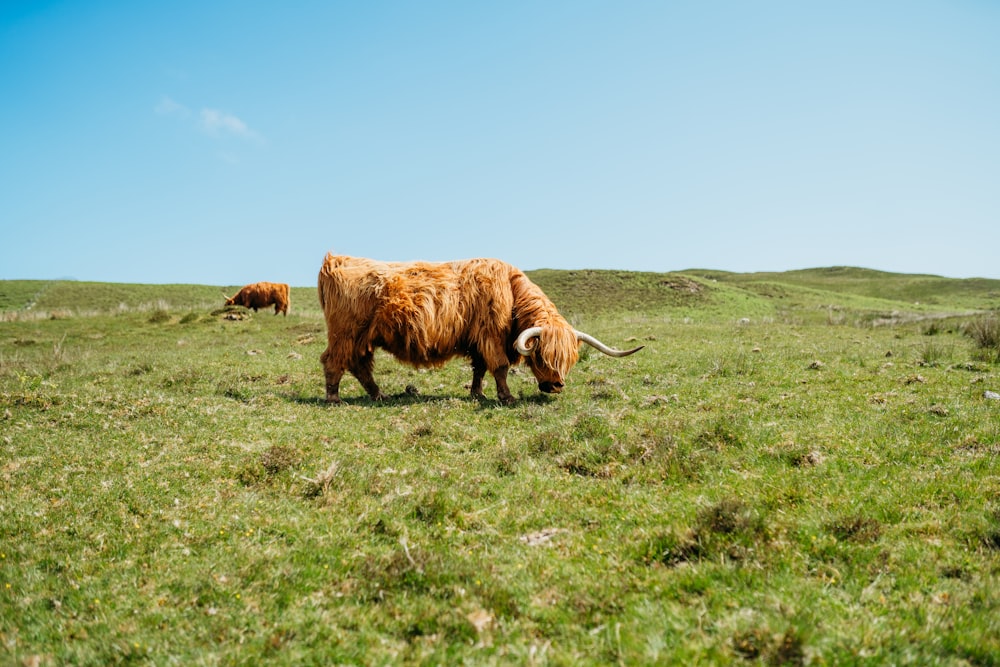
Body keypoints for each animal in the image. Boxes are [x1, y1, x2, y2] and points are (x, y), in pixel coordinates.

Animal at [318, 253, 640, 404]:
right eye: (540, 356)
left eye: (570, 360)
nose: (556, 386)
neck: (510, 290)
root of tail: (335, 260)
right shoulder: (491, 336)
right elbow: (499, 366)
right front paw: (506, 397)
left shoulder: (478, 340)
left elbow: (479, 369)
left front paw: (477, 394)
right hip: (345, 333)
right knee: (334, 361)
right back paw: (334, 398)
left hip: (364, 337)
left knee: (360, 365)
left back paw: (378, 395)